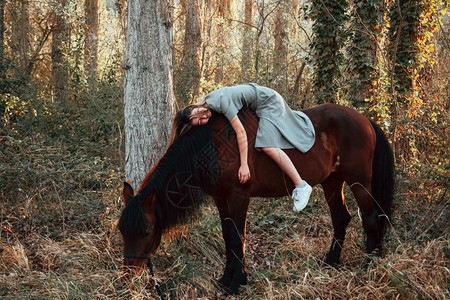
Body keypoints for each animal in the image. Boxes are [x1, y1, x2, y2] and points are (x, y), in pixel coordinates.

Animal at [118, 104, 394, 294]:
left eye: (146, 231)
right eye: (122, 230)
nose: (128, 276)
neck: (214, 146)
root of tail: (364, 119)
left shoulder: (238, 197)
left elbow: (237, 237)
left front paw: (237, 282)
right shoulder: (221, 200)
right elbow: (227, 236)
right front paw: (226, 279)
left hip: (359, 181)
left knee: (370, 217)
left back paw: (370, 265)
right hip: (332, 181)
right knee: (340, 218)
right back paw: (331, 262)